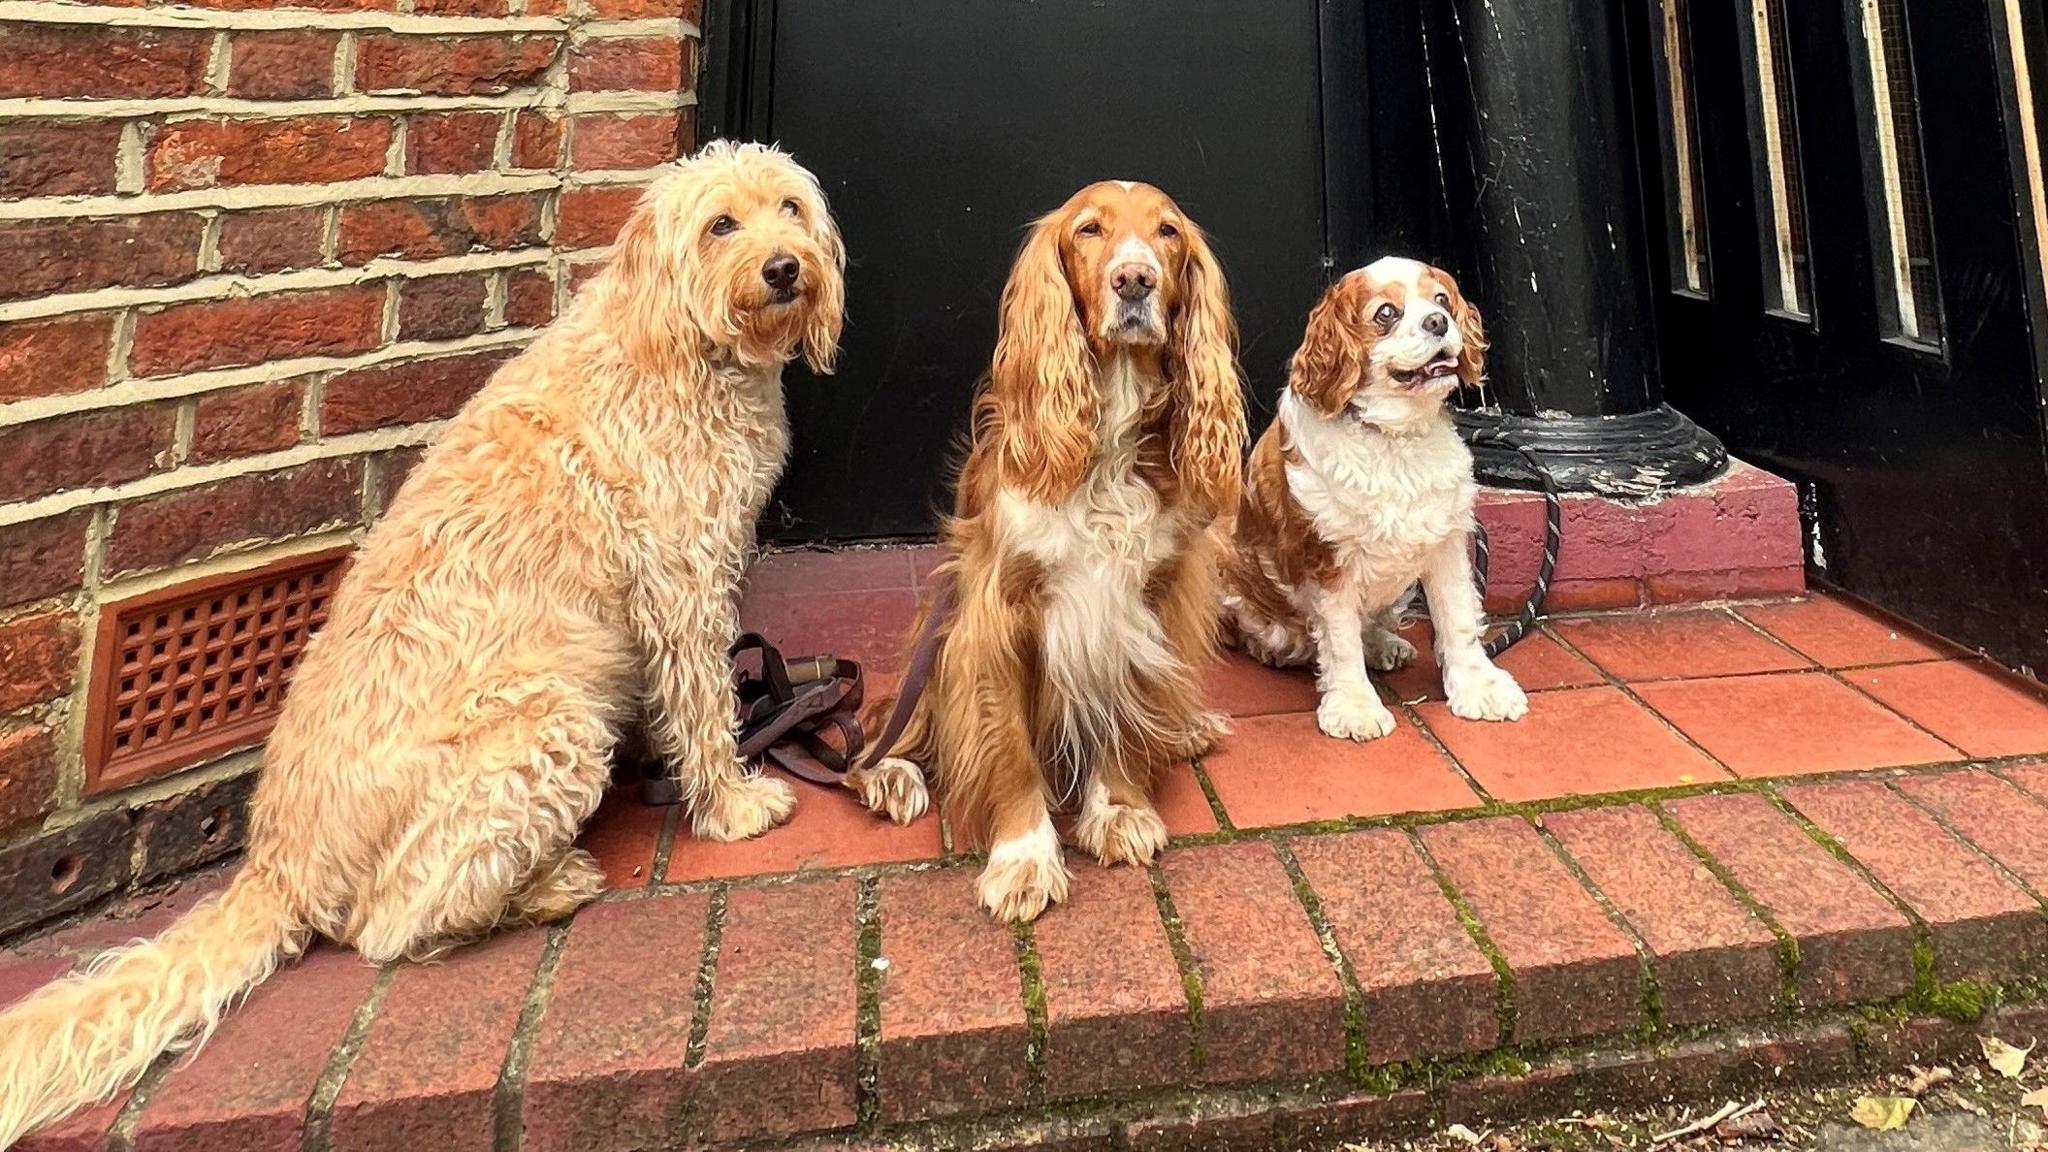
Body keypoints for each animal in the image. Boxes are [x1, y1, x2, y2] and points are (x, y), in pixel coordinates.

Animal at [0, 139, 839, 1139]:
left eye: (789, 208)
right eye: (721, 225)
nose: (785, 267)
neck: (684, 343)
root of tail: (278, 864)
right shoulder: (682, 582)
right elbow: (707, 703)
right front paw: (732, 801)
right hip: (544, 725)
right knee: (390, 927)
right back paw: (548, 887)